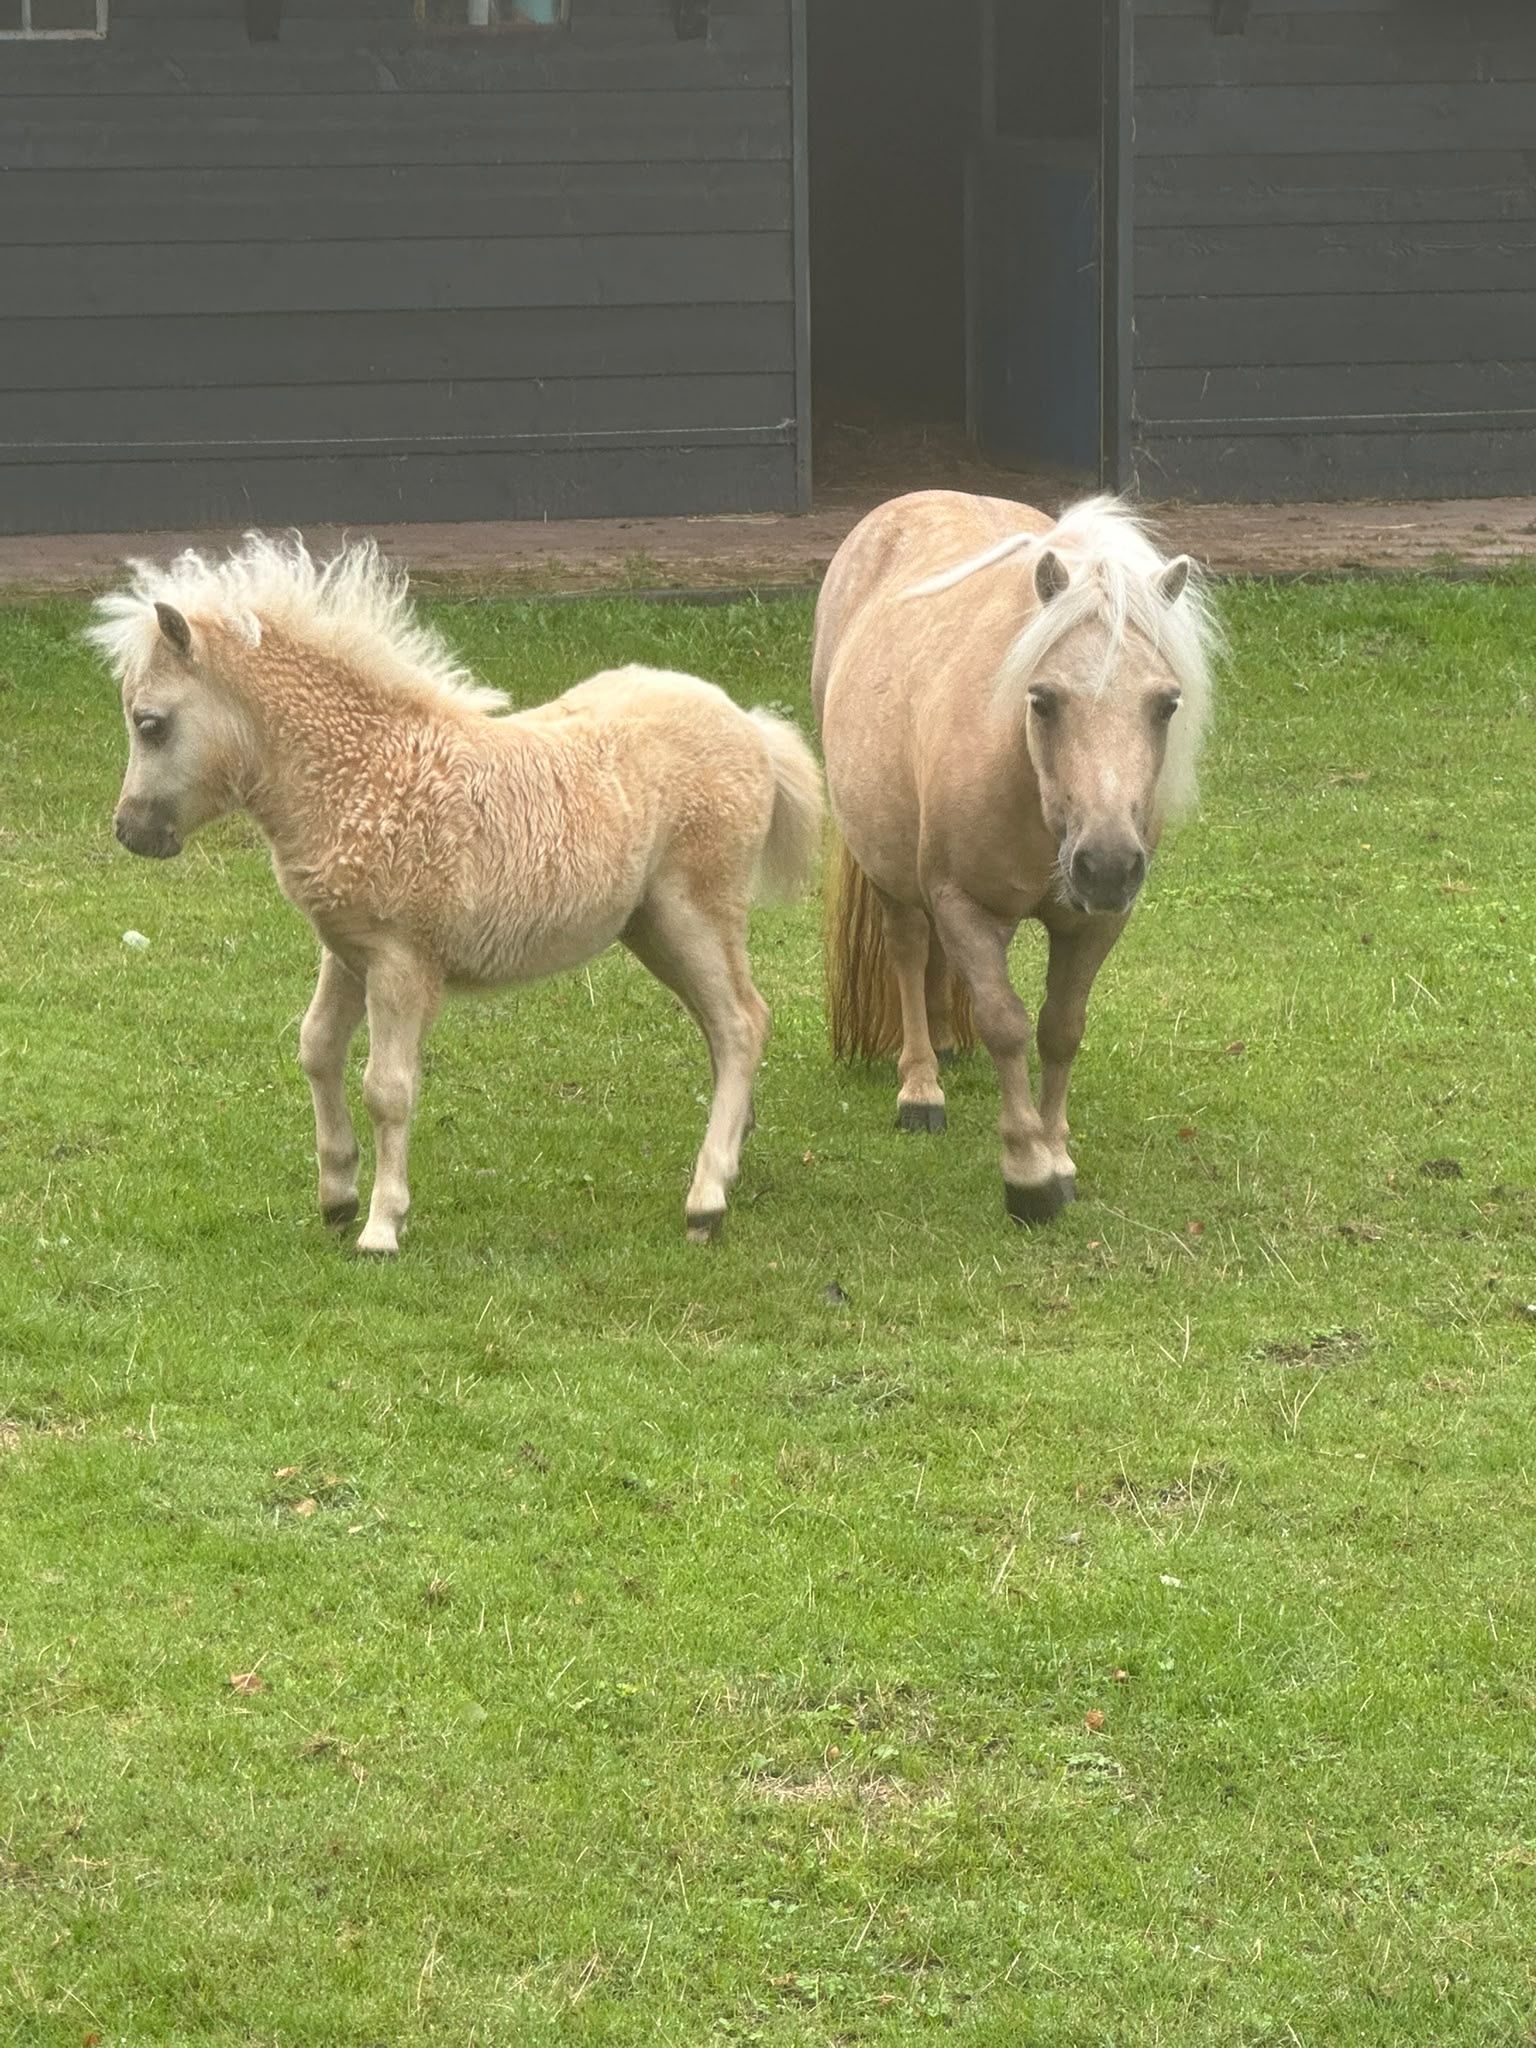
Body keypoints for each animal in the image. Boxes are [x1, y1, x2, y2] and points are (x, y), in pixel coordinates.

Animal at [92, 534, 822, 1253]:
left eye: (150, 723)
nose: (131, 831)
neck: (363, 774)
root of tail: (749, 725)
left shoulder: (400, 960)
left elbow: (387, 1088)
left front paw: (383, 1225)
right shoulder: (346, 950)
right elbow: (316, 1049)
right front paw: (337, 1195)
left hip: (695, 911)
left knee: (741, 1022)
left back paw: (707, 1199)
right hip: (650, 927)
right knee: (722, 1027)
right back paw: (732, 1160)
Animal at [814, 491, 1218, 1225]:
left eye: (1167, 703)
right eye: (1043, 698)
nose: (1107, 864)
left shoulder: (1094, 923)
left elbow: (1061, 1028)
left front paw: (1058, 1152)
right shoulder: (964, 906)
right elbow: (1005, 1024)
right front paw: (1028, 1172)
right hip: (890, 871)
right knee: (909, 950)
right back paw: (921, 1086)